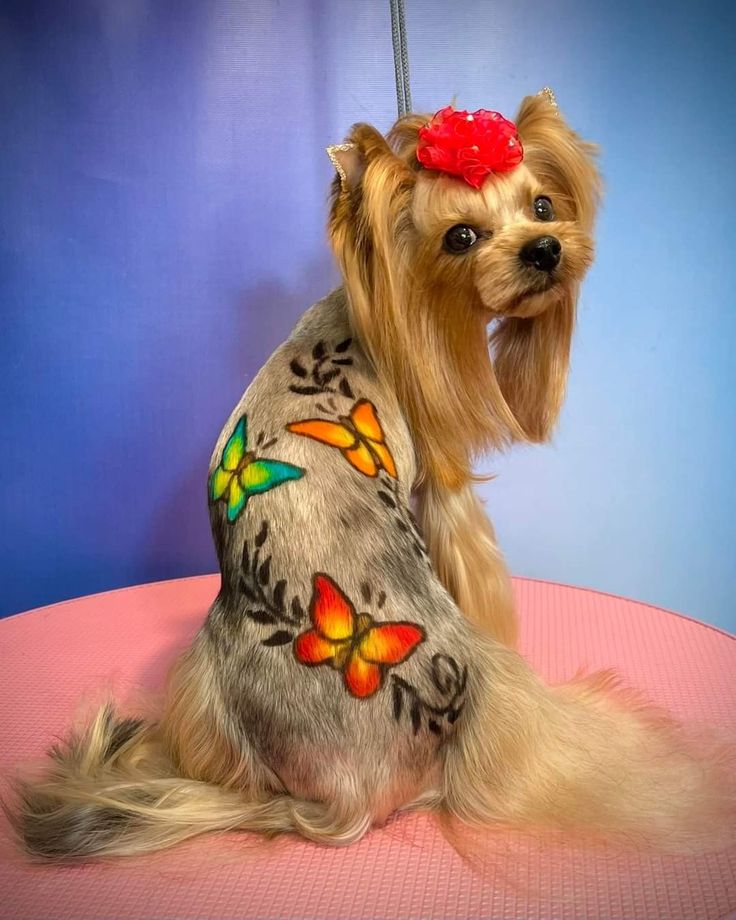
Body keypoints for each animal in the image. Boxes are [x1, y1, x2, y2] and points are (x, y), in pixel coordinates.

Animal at [12, 90, 736, 860]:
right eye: (460, 237)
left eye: (542, 204)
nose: (545, 249)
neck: (389, 313)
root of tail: (345, 799)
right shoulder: (443, 486)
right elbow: (471, 555)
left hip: (206, 687)